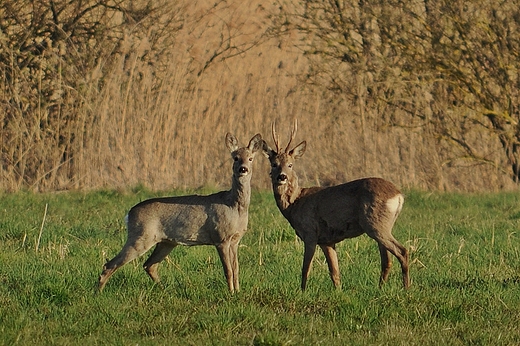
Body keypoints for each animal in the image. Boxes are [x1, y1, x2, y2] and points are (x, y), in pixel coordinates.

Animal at [97, 132, 262, 292]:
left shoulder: (235, 240)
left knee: (149, 265)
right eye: (235, 158)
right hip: (140, 237)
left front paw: (238, 292)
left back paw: (164, 289)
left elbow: (236, 269)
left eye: (251, 158)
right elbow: (228, 270)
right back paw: (98, 293)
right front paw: (231, 293)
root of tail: (129, 213)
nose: (243, 169)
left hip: (165, 242)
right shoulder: (220, 237)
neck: (233, 206)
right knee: (109, 265)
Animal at [262, 121, 408, 290]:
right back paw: (380, 289)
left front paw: (302, 292)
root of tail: (398, 195)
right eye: (274, 164)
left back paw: (406, 288)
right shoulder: (327, 241)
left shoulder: (310, 232)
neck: (294, 204)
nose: (282, 176)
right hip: (381, 225)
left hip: (375, 224)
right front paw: (338, 291)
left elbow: (306, 268)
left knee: (402, 251)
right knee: (387, 260)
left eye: (290, 165)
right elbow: (334, 272)